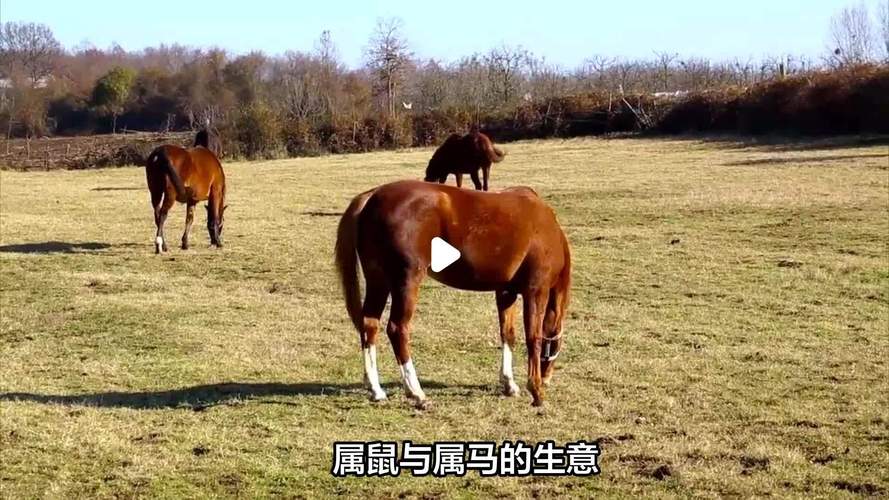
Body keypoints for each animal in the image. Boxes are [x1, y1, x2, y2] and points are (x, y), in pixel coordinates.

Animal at [335, 180, 571, 408]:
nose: (547, 378)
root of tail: (373, 196)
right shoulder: (536, 290)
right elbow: (534, 337)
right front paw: (536, 390)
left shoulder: (506, 292)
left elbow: (508, 334)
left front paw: (509, 384)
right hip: (406, 282)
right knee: (397, 329)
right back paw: (417, 393)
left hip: (378, 281)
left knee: (370, 326)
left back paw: (376, 390)